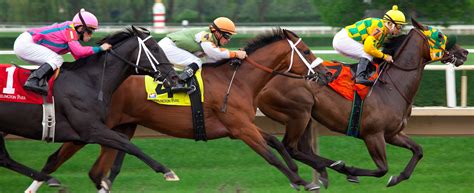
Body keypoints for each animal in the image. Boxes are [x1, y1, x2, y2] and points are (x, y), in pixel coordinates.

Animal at [0, 26, 180, 191]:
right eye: (155, 49)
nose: (174, 77)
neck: (88, 81)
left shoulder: (85, 134)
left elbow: (122, 144)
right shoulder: (91, 130)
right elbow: (129, 145)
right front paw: (166, 171)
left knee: (4, 159)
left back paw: (49, 179)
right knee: (5, 159)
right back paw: (50, 179)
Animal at [27, 29, 326, 193]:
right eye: (307, 51)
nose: (325, 75)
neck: (238, 81)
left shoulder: (243, 126)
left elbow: (276, 142)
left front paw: (307, 176)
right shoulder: (240, 128)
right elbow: (270, 155)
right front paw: (300, 179)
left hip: (119, 128)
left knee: (94, 170)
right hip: (88, 129)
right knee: (56, 159)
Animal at [256, 17, 466, 187]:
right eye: (440, 35)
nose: (464, 52)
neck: (392, 85)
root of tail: (268, 78)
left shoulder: (392, 134)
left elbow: (418, 150)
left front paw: (397, 178)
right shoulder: (373, 135)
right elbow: (382, 169)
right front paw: (353, 172)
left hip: (307, 116)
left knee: (303, 149)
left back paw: (327, 169)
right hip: (299, 112)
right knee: (290, 147)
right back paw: (332, 168)